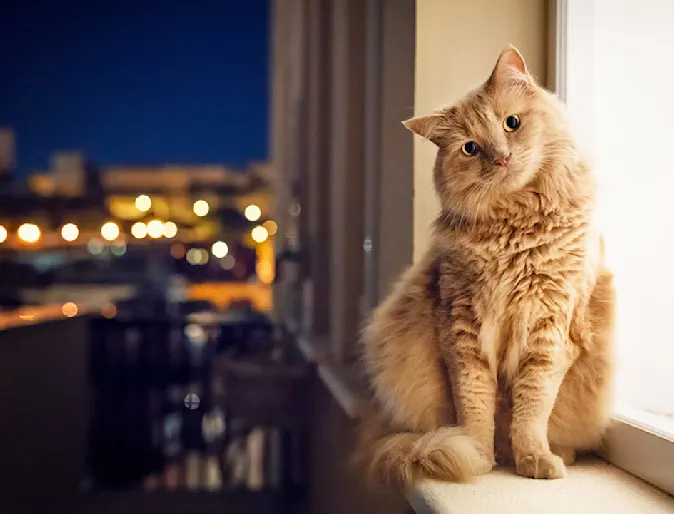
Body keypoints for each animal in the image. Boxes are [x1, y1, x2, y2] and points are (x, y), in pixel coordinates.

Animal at [356, 46, 616, 486]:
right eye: (470, 149)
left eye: (511, 123)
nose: (502, 158)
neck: (516, 229)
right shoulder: (462, 329)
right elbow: (475, 406)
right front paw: (477, 455)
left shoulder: (550, 331)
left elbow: (531, 410)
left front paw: (532, 458)